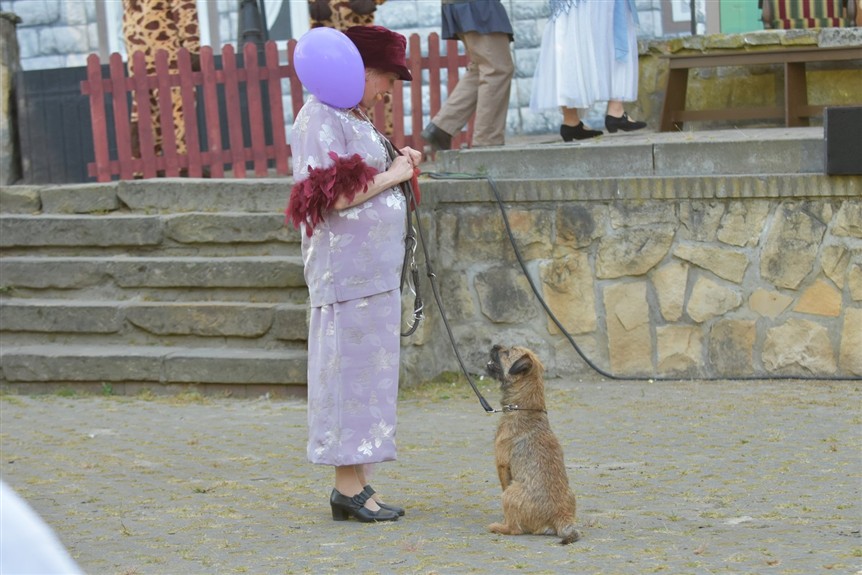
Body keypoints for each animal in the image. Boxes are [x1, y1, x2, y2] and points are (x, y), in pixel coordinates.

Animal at [485, 344, 581, 545]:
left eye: (506, 352)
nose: (495, 346)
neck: (524, 408)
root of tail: (561, 515)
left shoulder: (502, 465)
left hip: (510, 493)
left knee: (514, 529)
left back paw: (499, 527)